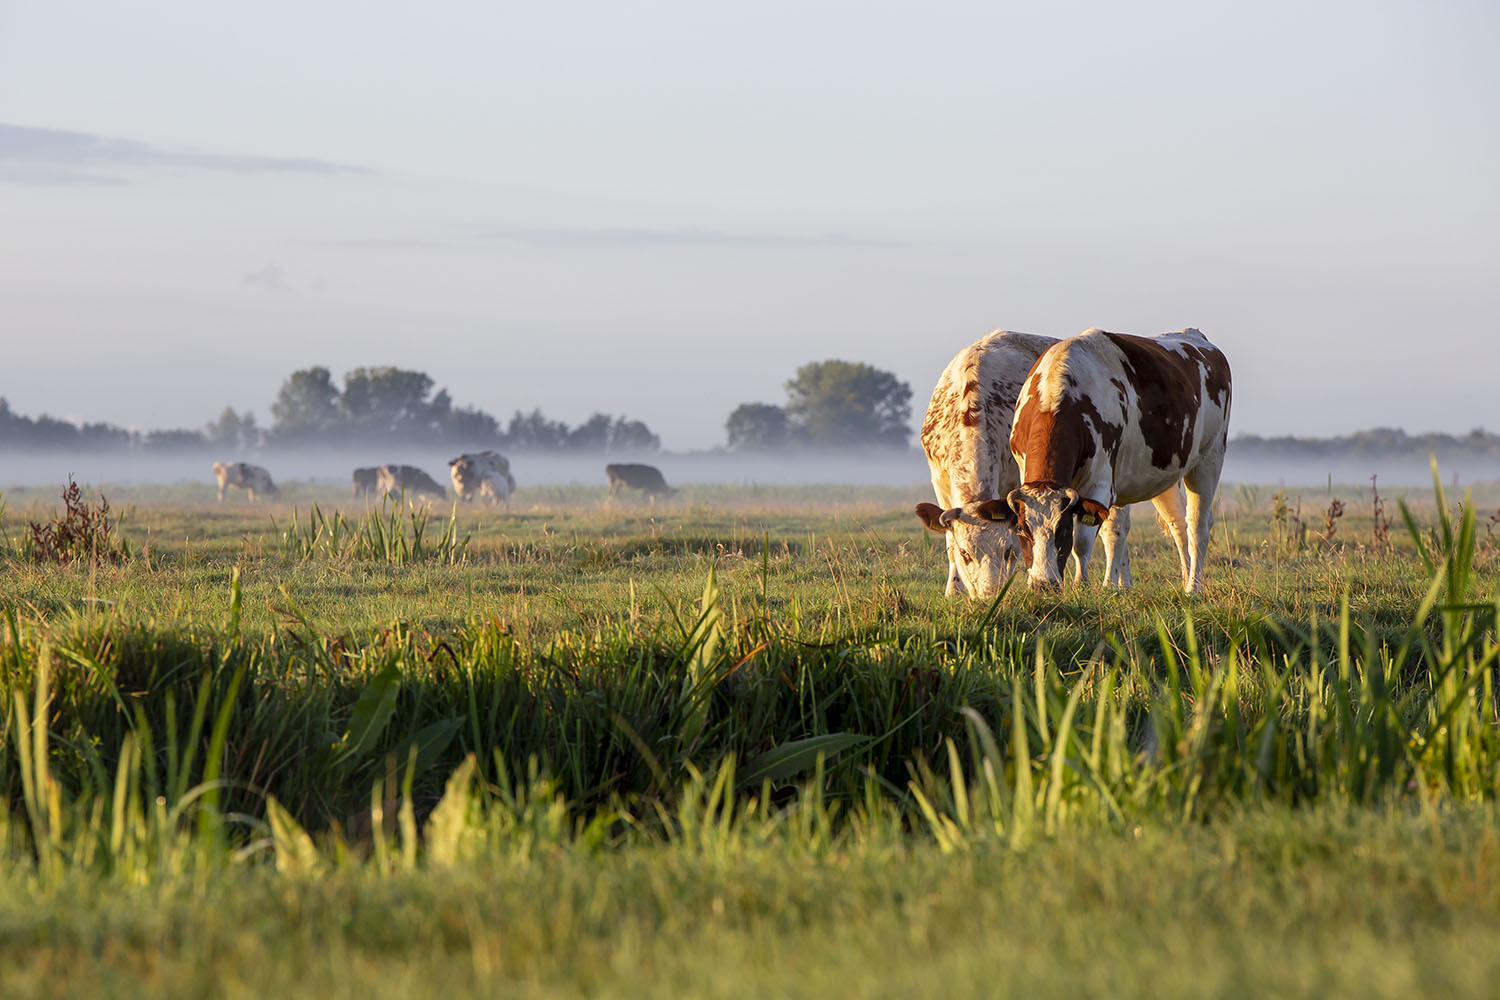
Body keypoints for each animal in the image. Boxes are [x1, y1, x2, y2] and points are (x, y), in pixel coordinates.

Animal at [906, 328, 1062, 599]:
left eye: (1007, 551)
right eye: (966, 554)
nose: (990, 596)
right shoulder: (940, 482)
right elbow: (949, 541)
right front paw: (954, 588)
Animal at [1008, 328, 1230, 593]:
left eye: (1063, 529)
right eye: (1021, 529)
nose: (1043, 584)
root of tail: (1194, 335)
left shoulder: (1100, 483)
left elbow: (1083, 541)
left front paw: (1082, 584)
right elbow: (1112, 531)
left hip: (1210, 458)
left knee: (1197, 525)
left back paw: (1193, 588)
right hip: (1161, 474)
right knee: (1178, 523)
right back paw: (1185, 577)